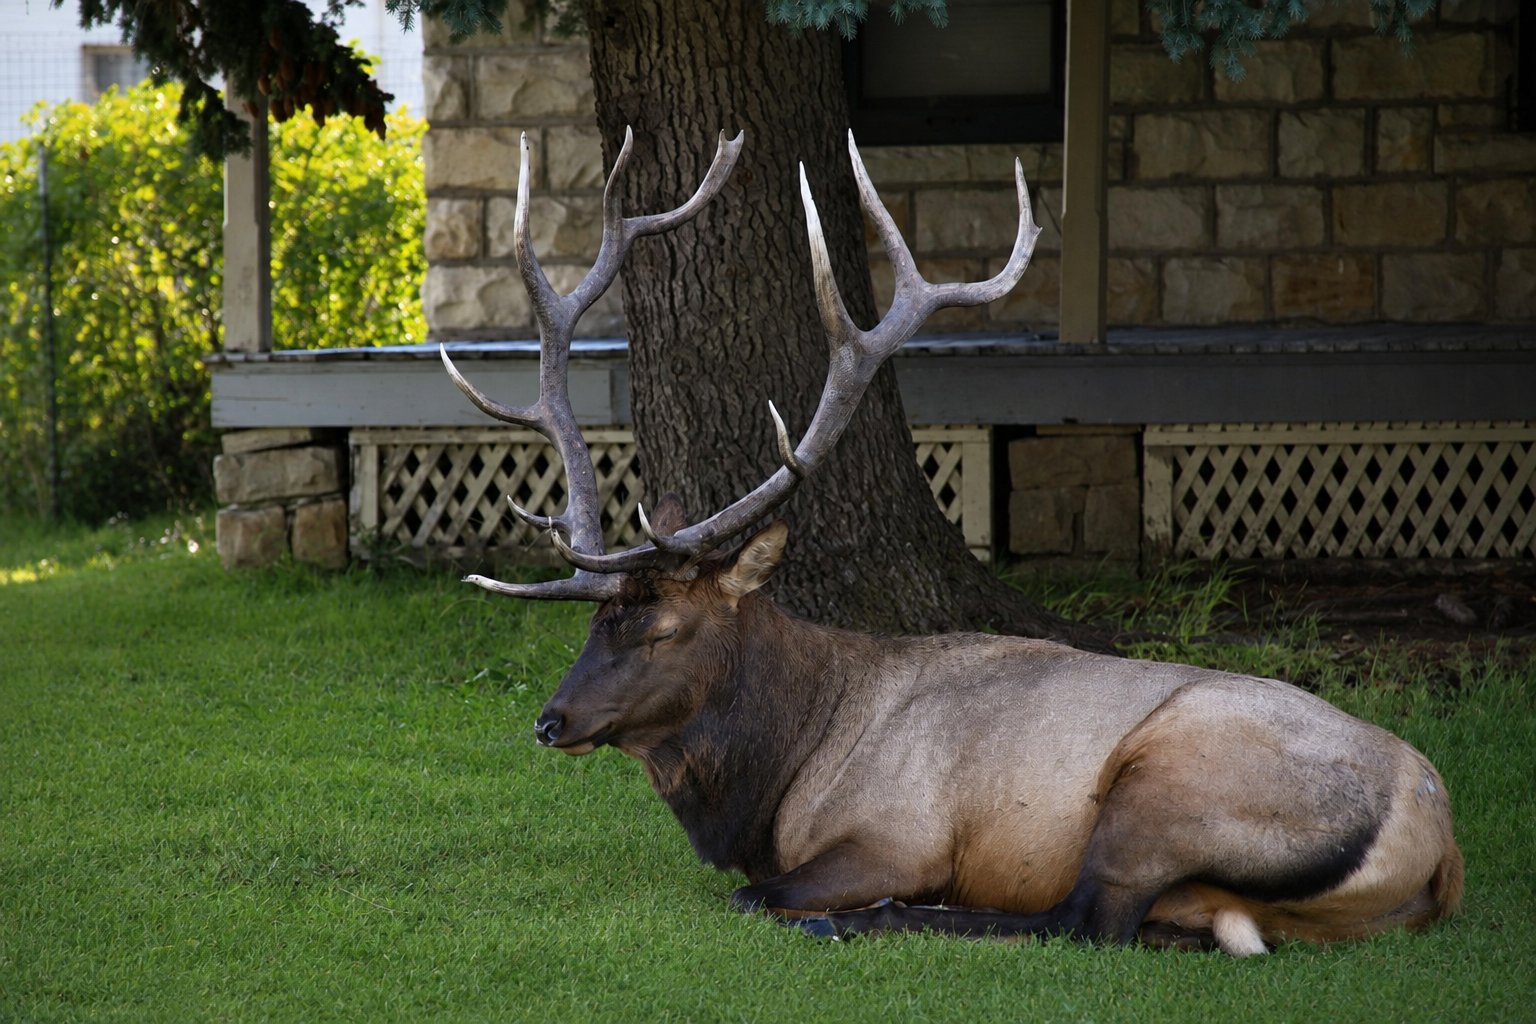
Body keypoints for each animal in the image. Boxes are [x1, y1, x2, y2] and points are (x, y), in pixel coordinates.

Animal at [439, 127, 1463, 956]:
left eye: (661, 630)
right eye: (595, 621)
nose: (550, 720)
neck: (781, 774)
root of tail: (1441, 842)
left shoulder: (896, 833)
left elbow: (750, 896)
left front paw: (839, 907)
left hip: (1169, 784)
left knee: (1086, 921)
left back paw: (869, 922)